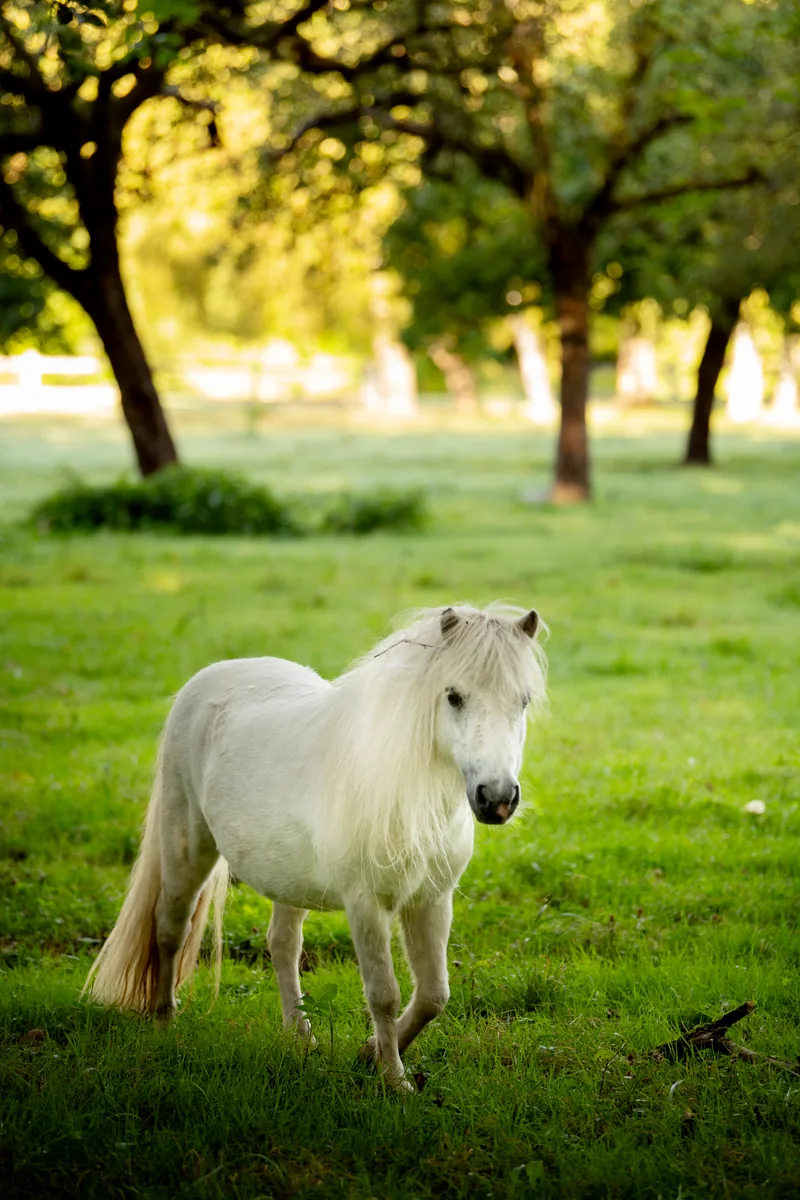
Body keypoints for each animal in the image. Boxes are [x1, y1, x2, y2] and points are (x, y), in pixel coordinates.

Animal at [83, 603, 547, 1090]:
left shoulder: (431, 900)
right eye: (454, 696)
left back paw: (299, 1036)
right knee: (171, 929)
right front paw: (393, 1080)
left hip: (286, 877)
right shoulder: (366, 905)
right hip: (186, 849)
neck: (406, 791)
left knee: (283, 945)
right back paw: (164, 1023)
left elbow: (433, 995)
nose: (497, 798)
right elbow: (383, 994)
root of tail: (208, 678)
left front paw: (369, 1053)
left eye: (523, 701)